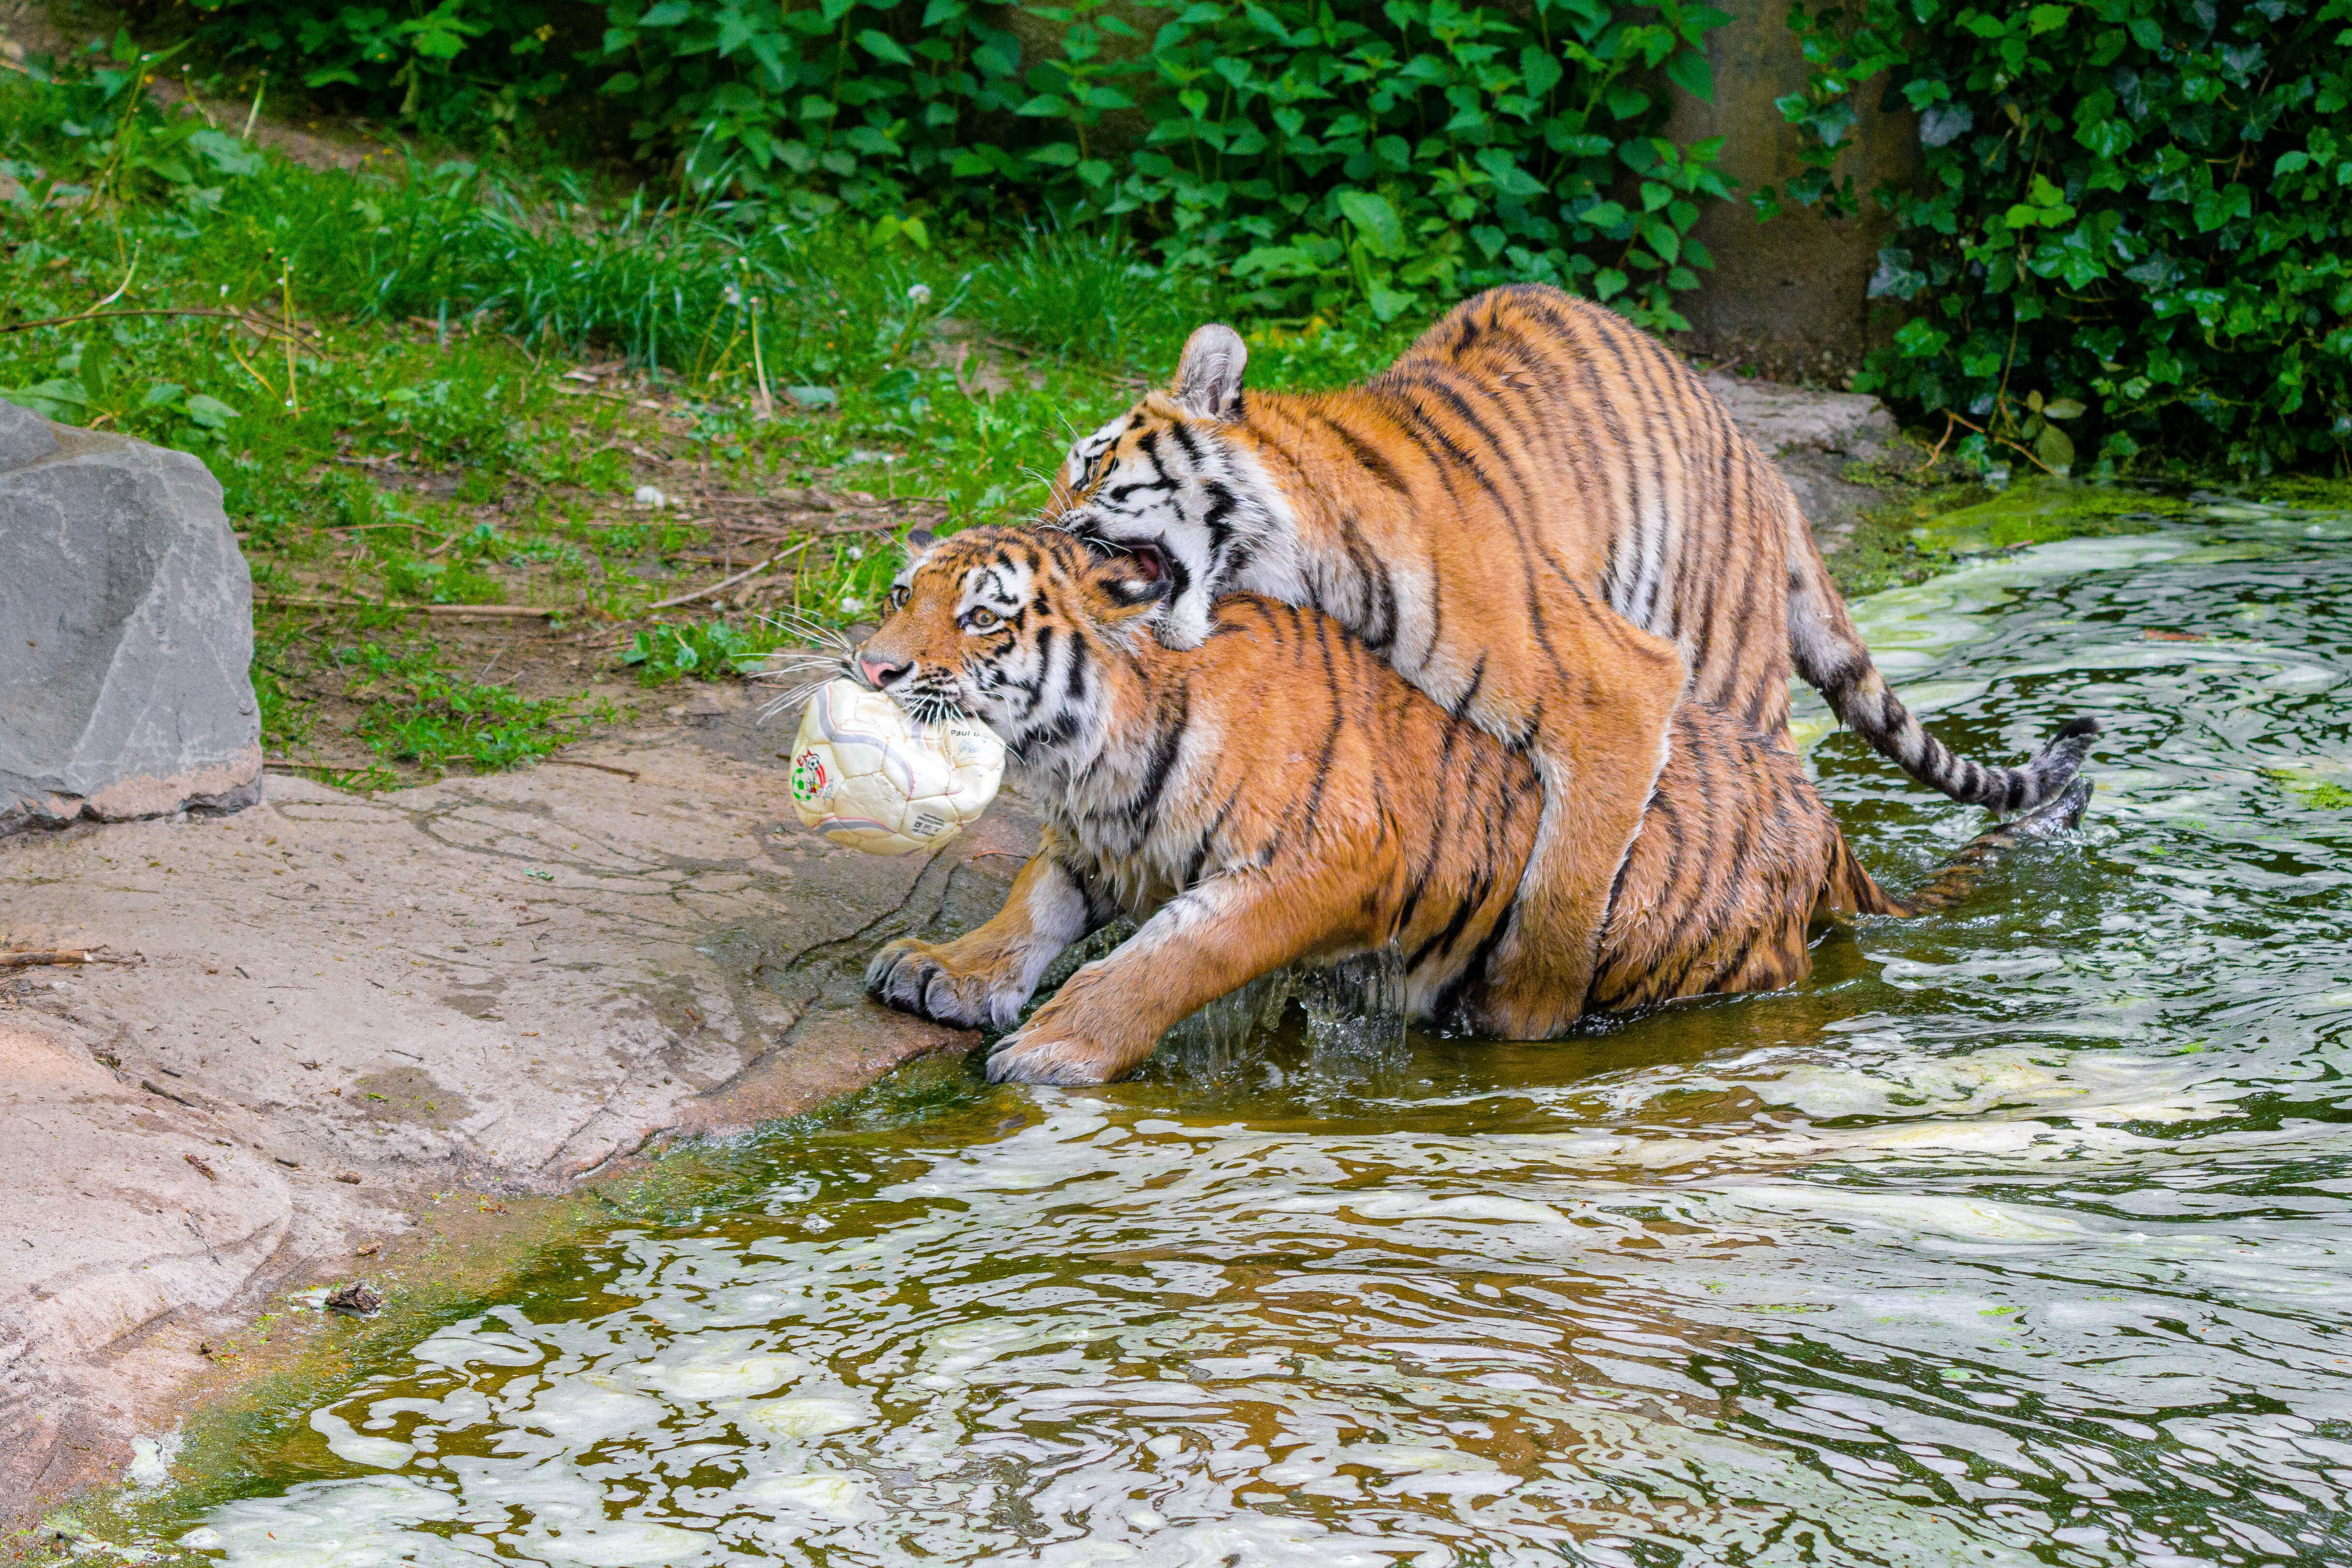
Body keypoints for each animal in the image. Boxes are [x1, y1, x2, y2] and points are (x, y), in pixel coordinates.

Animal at [856, 524, 2088, 1081]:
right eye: (899, 593)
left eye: (981, 619)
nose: (870, 666)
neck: (1083, 751)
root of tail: (1820, 817)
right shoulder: (1103, 843)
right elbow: (1031, 902)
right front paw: (944, 971)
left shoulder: (1321, 860)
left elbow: (1172, 957)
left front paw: (1056, 1049)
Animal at [1049, 282, 2098, 1044]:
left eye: (1093, 467)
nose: (1050, 530)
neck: (1297, 545)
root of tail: (1766, 470)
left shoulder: (1615, 694)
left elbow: (1567, 882)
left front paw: (1528, 1023)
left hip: (1726, 680)